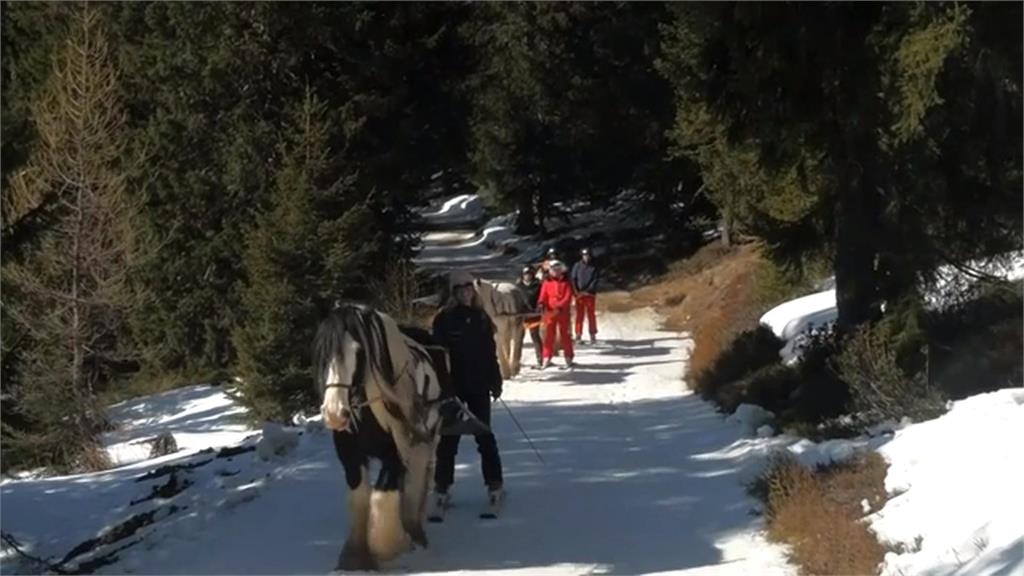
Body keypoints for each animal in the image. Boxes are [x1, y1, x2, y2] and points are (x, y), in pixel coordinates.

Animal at [311, 301, 448, 569]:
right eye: (322, 352)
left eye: (359, 352)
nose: (334, 413)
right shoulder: (350, 456)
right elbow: (359, 498)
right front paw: (355, 558)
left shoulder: (395, 453)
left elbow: (381, 496)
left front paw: (388, 547)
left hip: (429, 441)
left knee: (421, 477)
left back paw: (415, 527)